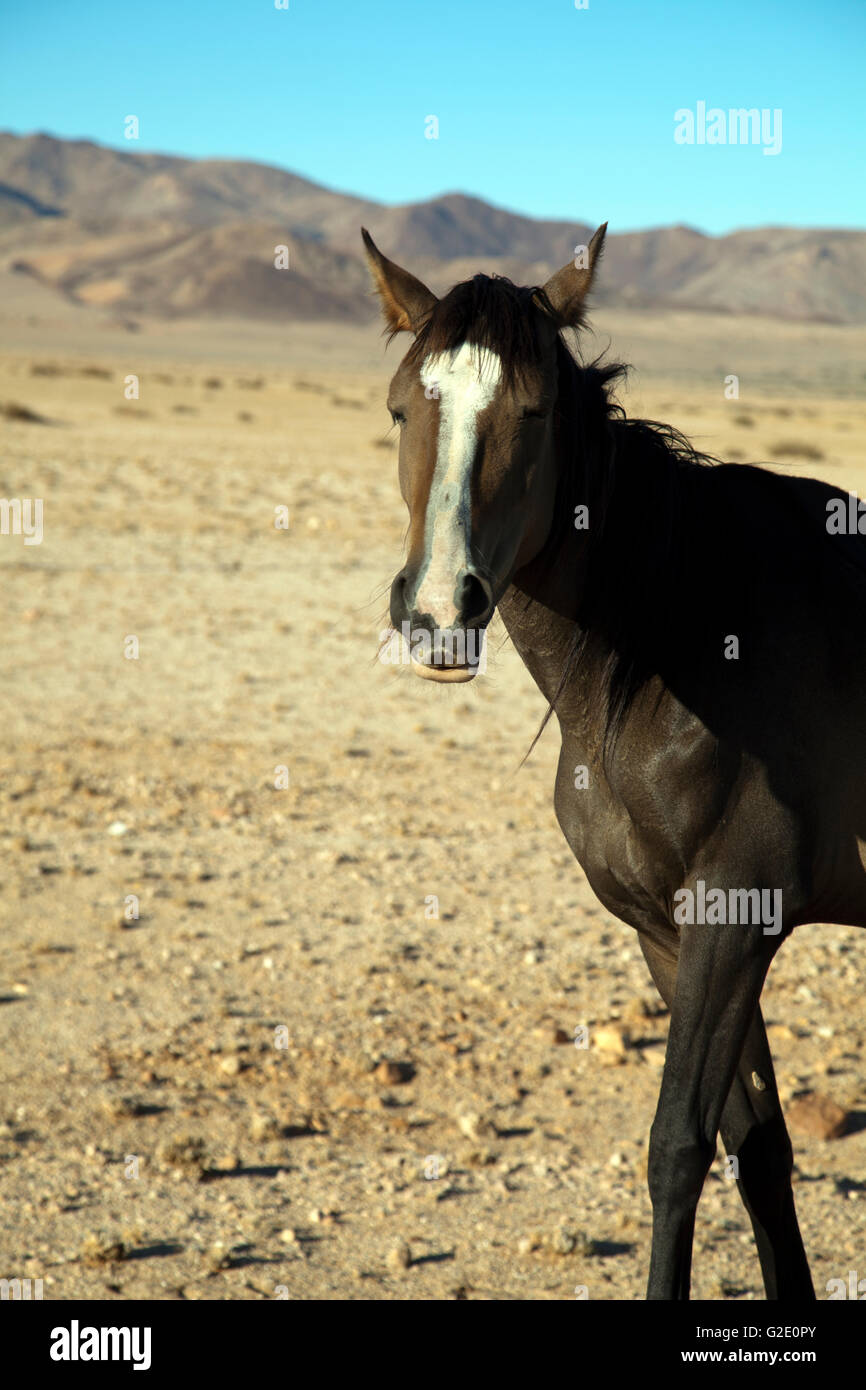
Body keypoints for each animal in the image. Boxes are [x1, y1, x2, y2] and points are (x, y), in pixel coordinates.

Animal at [358, 222, 866, 1295]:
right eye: (398, 410)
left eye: (534, 411)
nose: (437, 611)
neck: (687, 635)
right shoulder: (666, 935)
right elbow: (758, 1151)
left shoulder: (732, 921)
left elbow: (676, 1147)